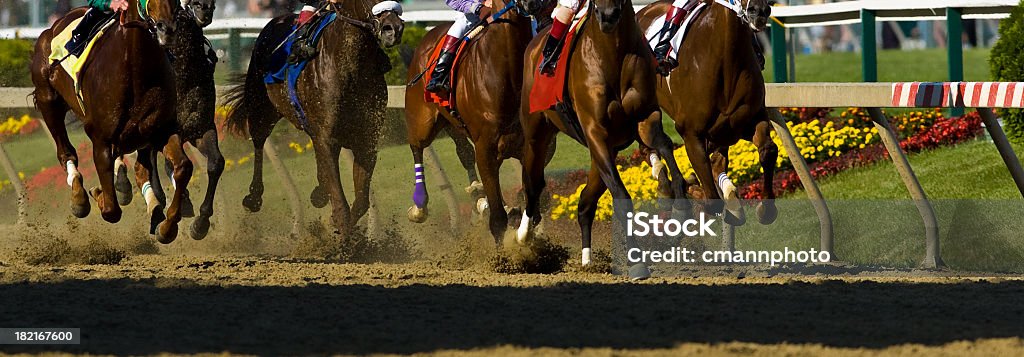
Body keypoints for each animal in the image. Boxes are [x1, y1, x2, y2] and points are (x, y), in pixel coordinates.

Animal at [29, 0, 192, 242]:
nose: (167, 28)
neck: (134, 69)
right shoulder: (101, 140)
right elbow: (111, 211)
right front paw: (98, 193)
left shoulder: (161, 129)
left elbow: (183, 167)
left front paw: (167, 226)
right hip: (48, 100)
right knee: (65, 152)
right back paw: (79, 197)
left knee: (140, 168)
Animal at [224, 1, 403, 236]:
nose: (394, 29)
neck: (350, 67)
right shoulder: (327, 138)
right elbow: (341, 205)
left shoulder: (366, 140)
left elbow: (361, 202)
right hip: (260, 108)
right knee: (259, 141)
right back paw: (254, 197)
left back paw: (319, 192)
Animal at [403, 0, 557, 243]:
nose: (534, 4)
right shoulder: (485, 147)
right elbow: (498, 220)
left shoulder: (534, 146)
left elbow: (534, 202)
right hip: (422, 120)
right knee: (417, 146)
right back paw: (419, 207)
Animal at [516, 0, 692, 278]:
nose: (608, 16)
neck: (612, 54)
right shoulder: (595, 131)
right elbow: (621, 197)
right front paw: (637, 262)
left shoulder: (646, 115)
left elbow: (663, 144)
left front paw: (678, 203)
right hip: (536, 134)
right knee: (533, 183)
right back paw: (523, 236)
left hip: (602, 154)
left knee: (585, 203)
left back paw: (587, 259)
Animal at [630, 0, 774, 224]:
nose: (758, 11)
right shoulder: (691, 133)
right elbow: (711, 200)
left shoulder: (751, 119)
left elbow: (768, 150)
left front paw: (765, 210)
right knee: (647, 147)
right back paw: (668, 188)